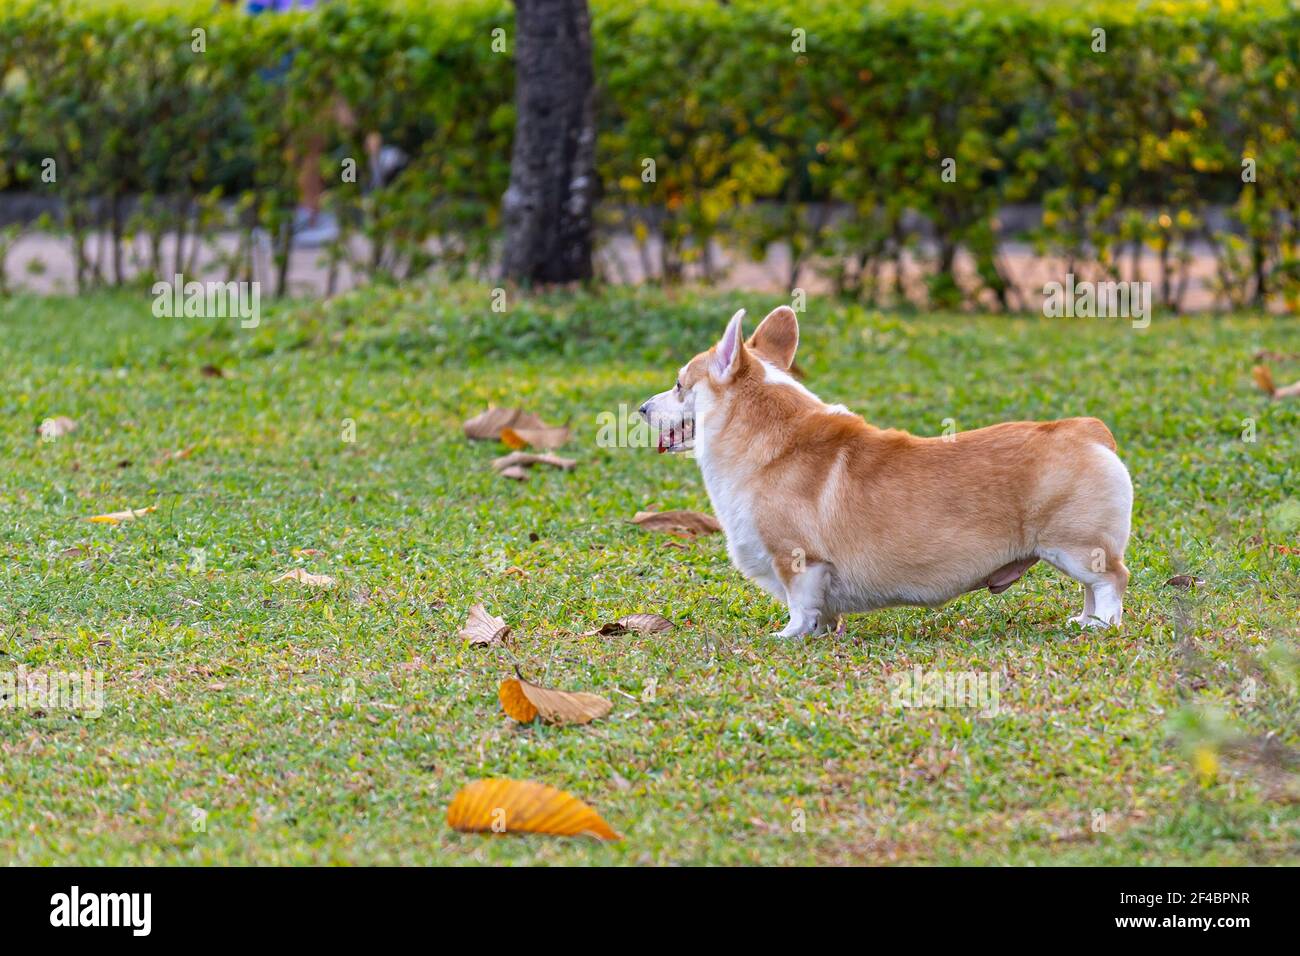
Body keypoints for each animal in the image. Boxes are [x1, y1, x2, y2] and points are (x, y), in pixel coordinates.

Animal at [634, 306, 1133, 634]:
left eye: (679, 385)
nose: (641, 409)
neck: (767, 442)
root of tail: (1088, 431)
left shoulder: (798, 561)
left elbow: (800, 606)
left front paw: (788, 636)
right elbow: (820, 613)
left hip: (1074, 546)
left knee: (1110, 580)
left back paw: (1102, 624)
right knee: (1092, 589)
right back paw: (1083, 620)